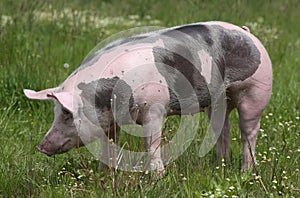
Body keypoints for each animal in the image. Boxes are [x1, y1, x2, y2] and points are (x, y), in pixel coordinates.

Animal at [23, 20, 272, 172]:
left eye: (66, 113)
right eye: (56, 112)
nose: (41, 147)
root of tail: (247, 33)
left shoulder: (155, 108)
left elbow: (152, 144)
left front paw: (157, 178)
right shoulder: (110, 120)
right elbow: (108, 144)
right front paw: (105, 172)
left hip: (256, 90)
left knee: (249, 131)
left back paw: (245, 171)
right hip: (219, 98)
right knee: (222, 127)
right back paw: (221, 166)